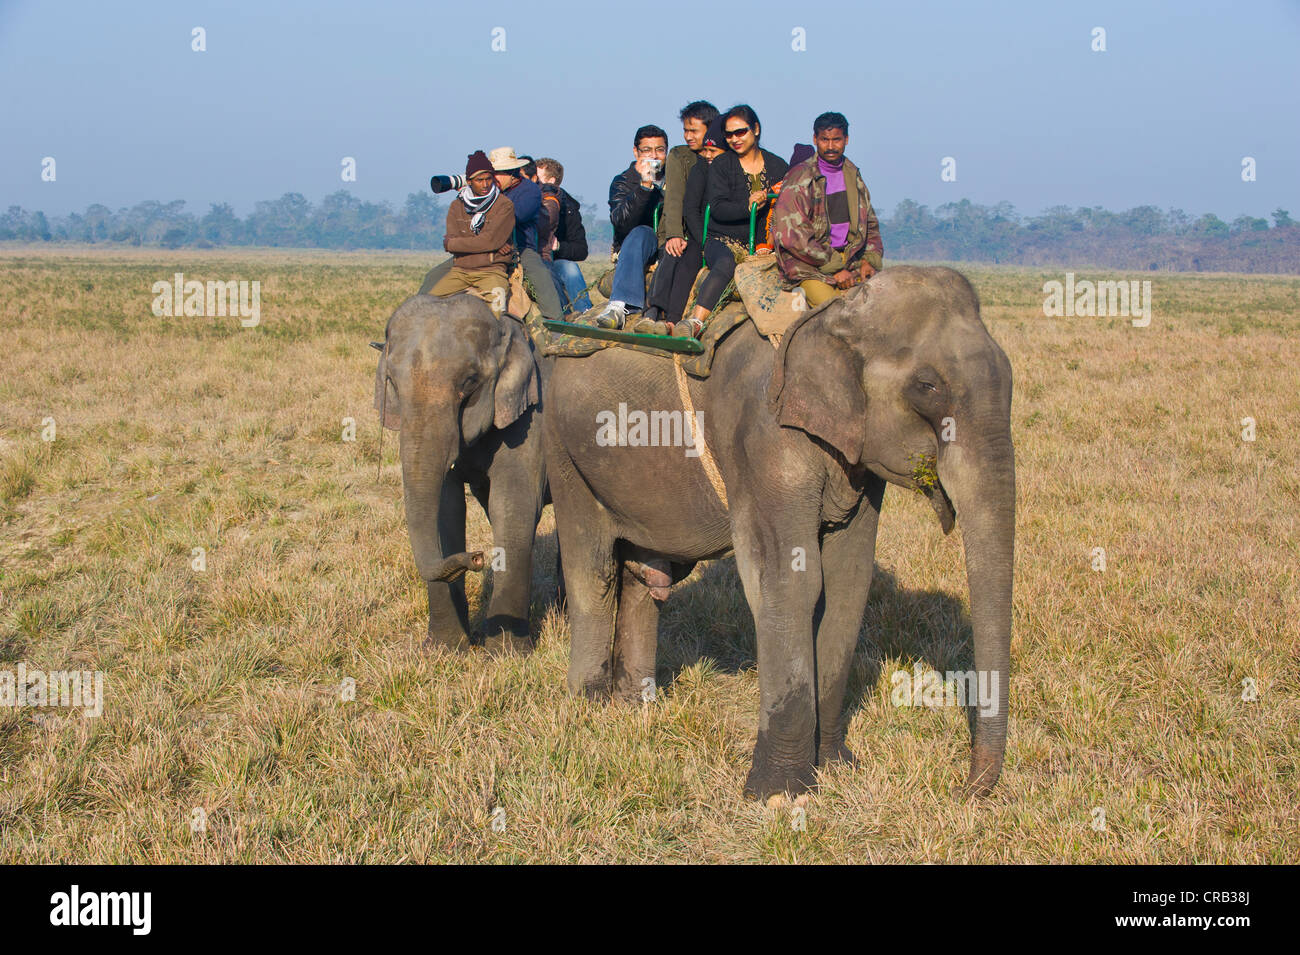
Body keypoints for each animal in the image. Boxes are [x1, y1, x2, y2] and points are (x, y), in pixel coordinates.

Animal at [374, 294, 551, 654]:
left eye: (469, 382)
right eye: (393, 383)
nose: (479, 557)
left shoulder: (529, 420)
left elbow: (513, 506)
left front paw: (505, 654)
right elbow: (447, 509)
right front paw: (443, 649)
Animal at [546, 267, 1013, 800]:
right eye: (928, 387)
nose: (962, 787)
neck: (832, 312)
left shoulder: (857, 457)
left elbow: (848, 582)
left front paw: (835, 767)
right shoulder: (762, 434)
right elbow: (788, 583)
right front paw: (778, 794)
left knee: (646, 578)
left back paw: (634, 707)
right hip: (564, 449)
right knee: (593, 569)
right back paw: (589, 709)